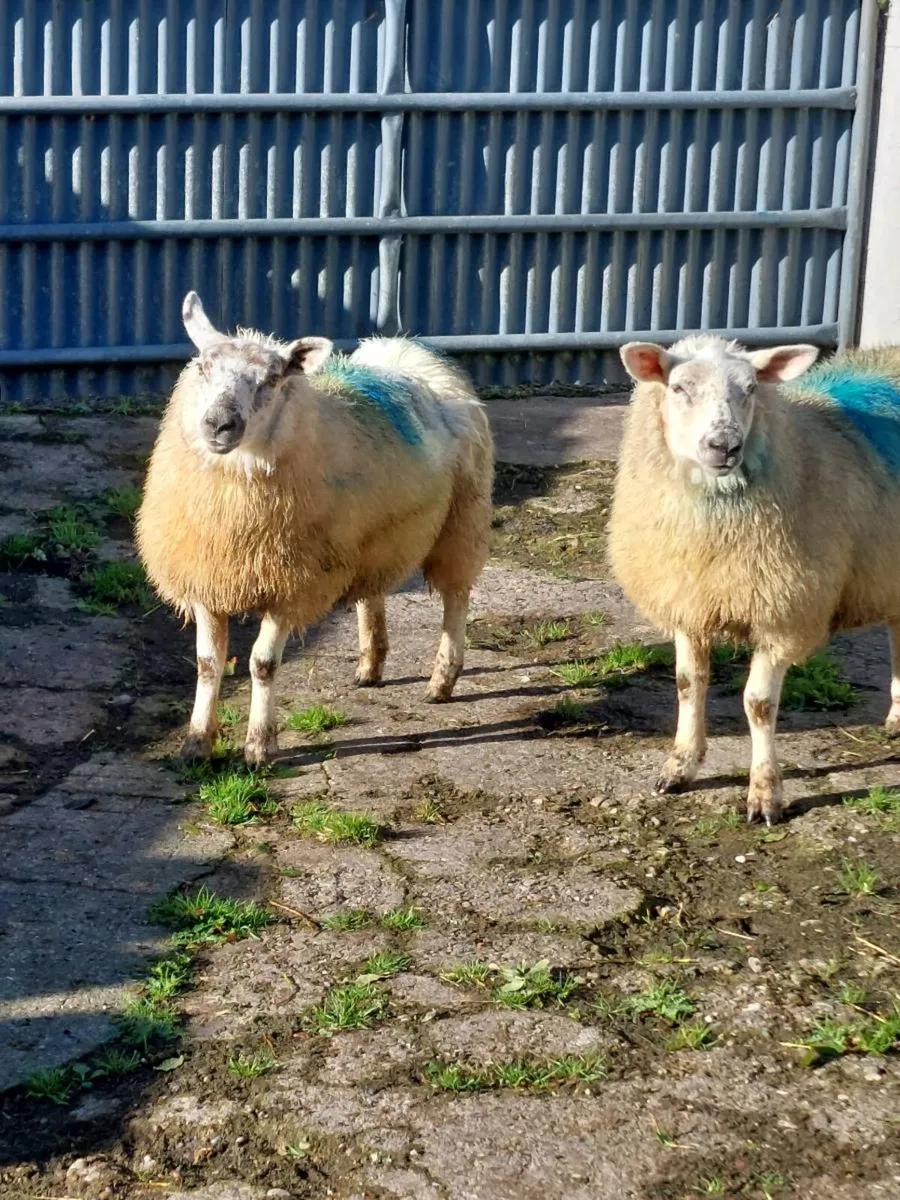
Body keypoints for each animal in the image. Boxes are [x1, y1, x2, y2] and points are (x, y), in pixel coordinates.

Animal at [136, 292, 494, 766]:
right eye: (203, 368)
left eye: (272, 379)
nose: (218, 425)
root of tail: (408, 351)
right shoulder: (207, 579)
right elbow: (208, 664)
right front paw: (196, 743)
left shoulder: (291, 586)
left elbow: (262, 664)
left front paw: (259, 746)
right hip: (373, 538)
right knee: (371, 592)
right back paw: (370, 665)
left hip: (462, 520)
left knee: (456, 597)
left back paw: (442, 681)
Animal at [607, 335, 900, 824]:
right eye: (678, 387)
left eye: (750, 388)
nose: (724, 445)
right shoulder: (689, 601)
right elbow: (688, 684)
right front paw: (680, 767)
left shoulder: (783, 613)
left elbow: (758, 705)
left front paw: (765, 793)